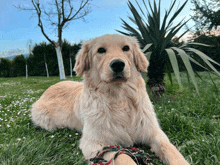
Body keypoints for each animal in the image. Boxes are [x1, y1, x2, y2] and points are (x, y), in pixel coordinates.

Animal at [30, 34, 189, 164]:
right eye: (101, 50)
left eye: (126, 48)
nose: (118, 64)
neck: (119, 99)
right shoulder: (96, 143)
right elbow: (123, 157)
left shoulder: (154, 133)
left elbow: (171, 150)